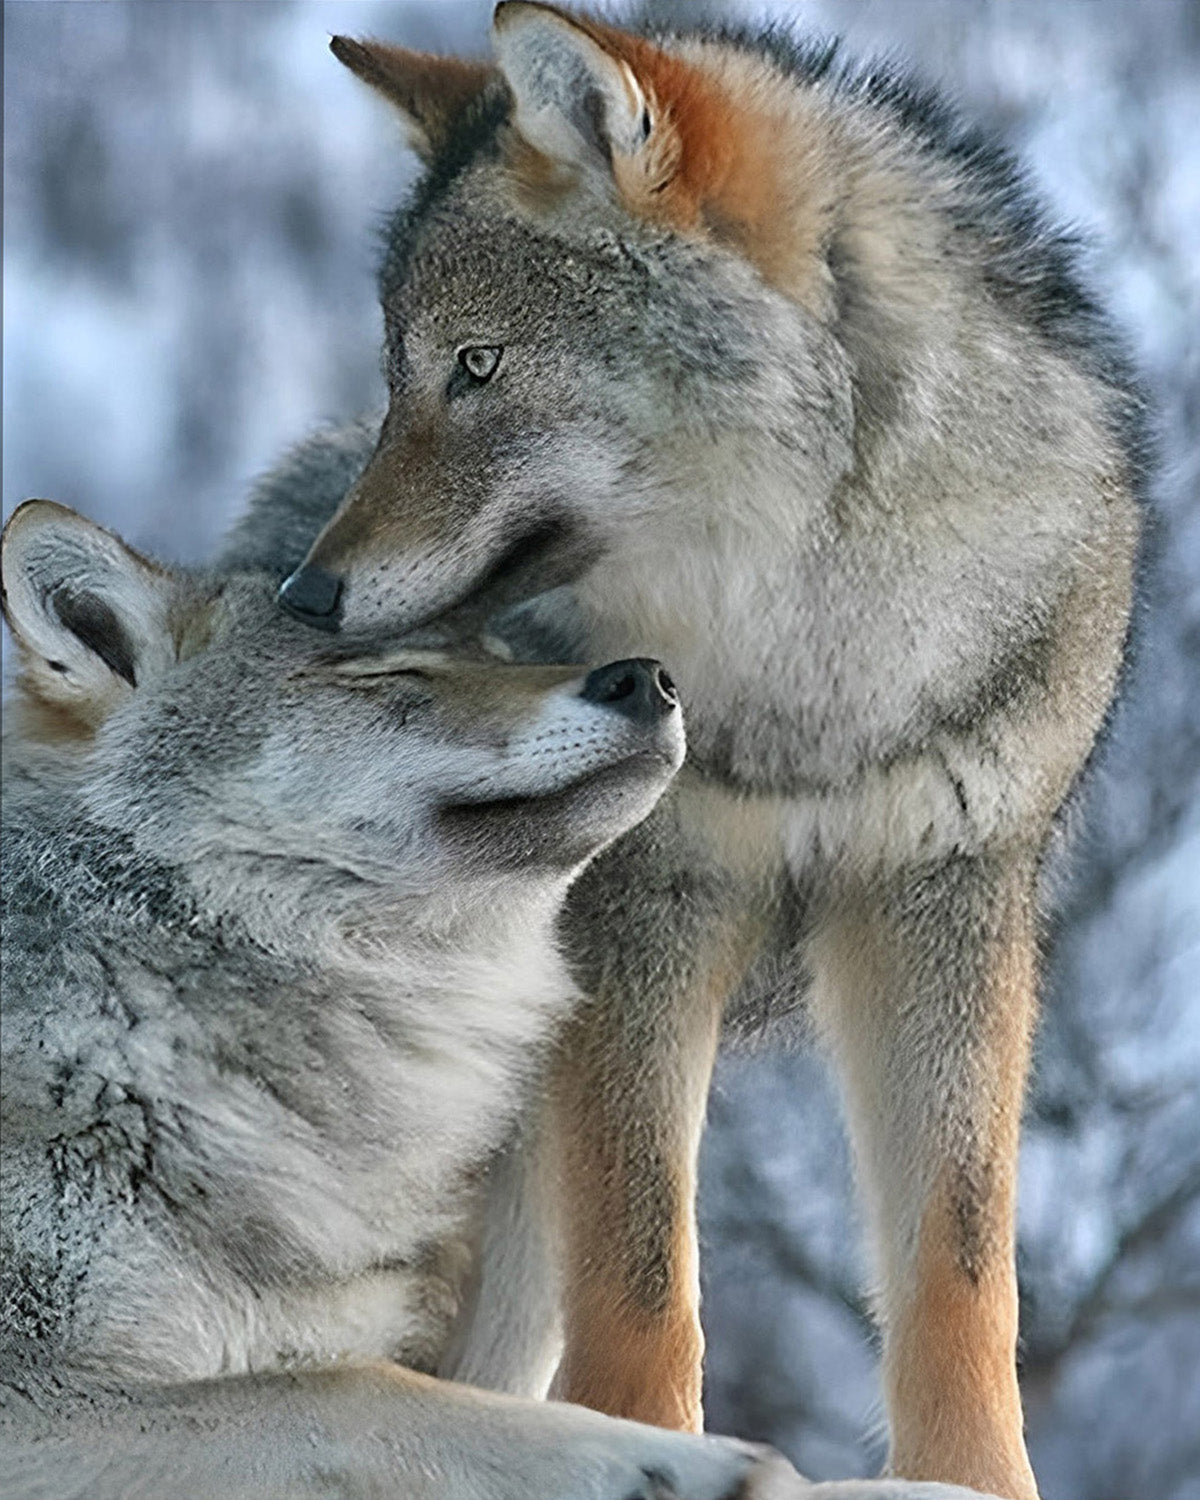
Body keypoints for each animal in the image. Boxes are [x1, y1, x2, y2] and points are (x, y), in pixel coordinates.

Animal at [0, 497, 841, 1500]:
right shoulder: (38, 1391)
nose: (648, 677)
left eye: (503, 656)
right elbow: (355, 1391)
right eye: (390, 675)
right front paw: (685, 1461)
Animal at [225, 5, 1143, 1497]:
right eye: (398, 380)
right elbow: (646, 1275)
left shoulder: (944, 898)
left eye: (475, 366)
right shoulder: (642, 909)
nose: (308, 596)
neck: (812, 641)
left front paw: (974, 1482)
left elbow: (959, 1270)